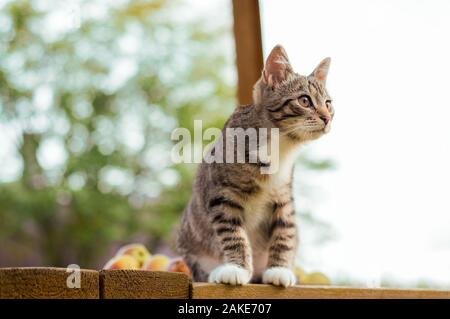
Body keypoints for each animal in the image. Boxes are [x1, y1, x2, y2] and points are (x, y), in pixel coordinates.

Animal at [178, 44, 332, 288]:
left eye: (328, 103)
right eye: (305, 101)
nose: (327, 118)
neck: (280, 145)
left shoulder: (283, 195)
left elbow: (285, 231)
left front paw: (279, 269)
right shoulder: (222, 194)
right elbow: (233, 233)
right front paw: (237, 268)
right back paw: (217, 271)